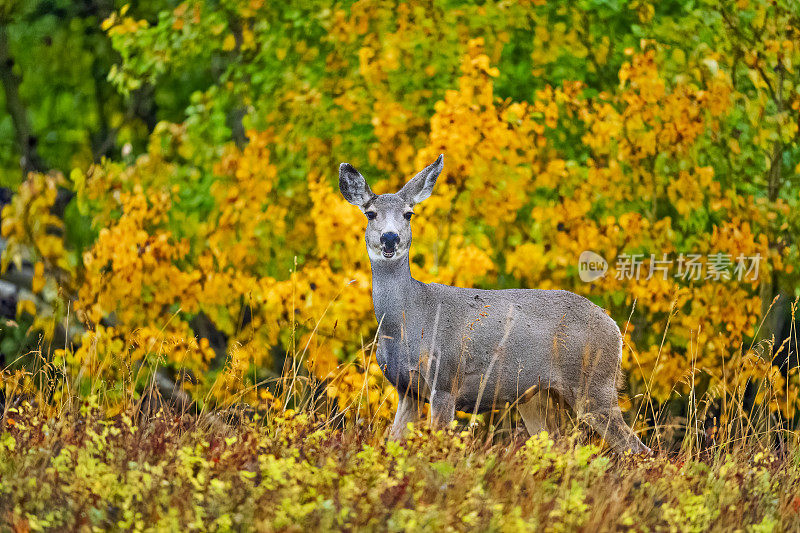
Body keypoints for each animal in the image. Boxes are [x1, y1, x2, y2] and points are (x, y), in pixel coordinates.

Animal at [338, 154, 648, 454]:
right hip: (538, 396)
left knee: (637, 448)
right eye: (370, 213)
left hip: (594, 383)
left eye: (408, 213)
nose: (390, 238)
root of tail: (614, 327)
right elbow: (393, 444)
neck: (409, 319)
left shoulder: (445, 378)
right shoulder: (407, 390)